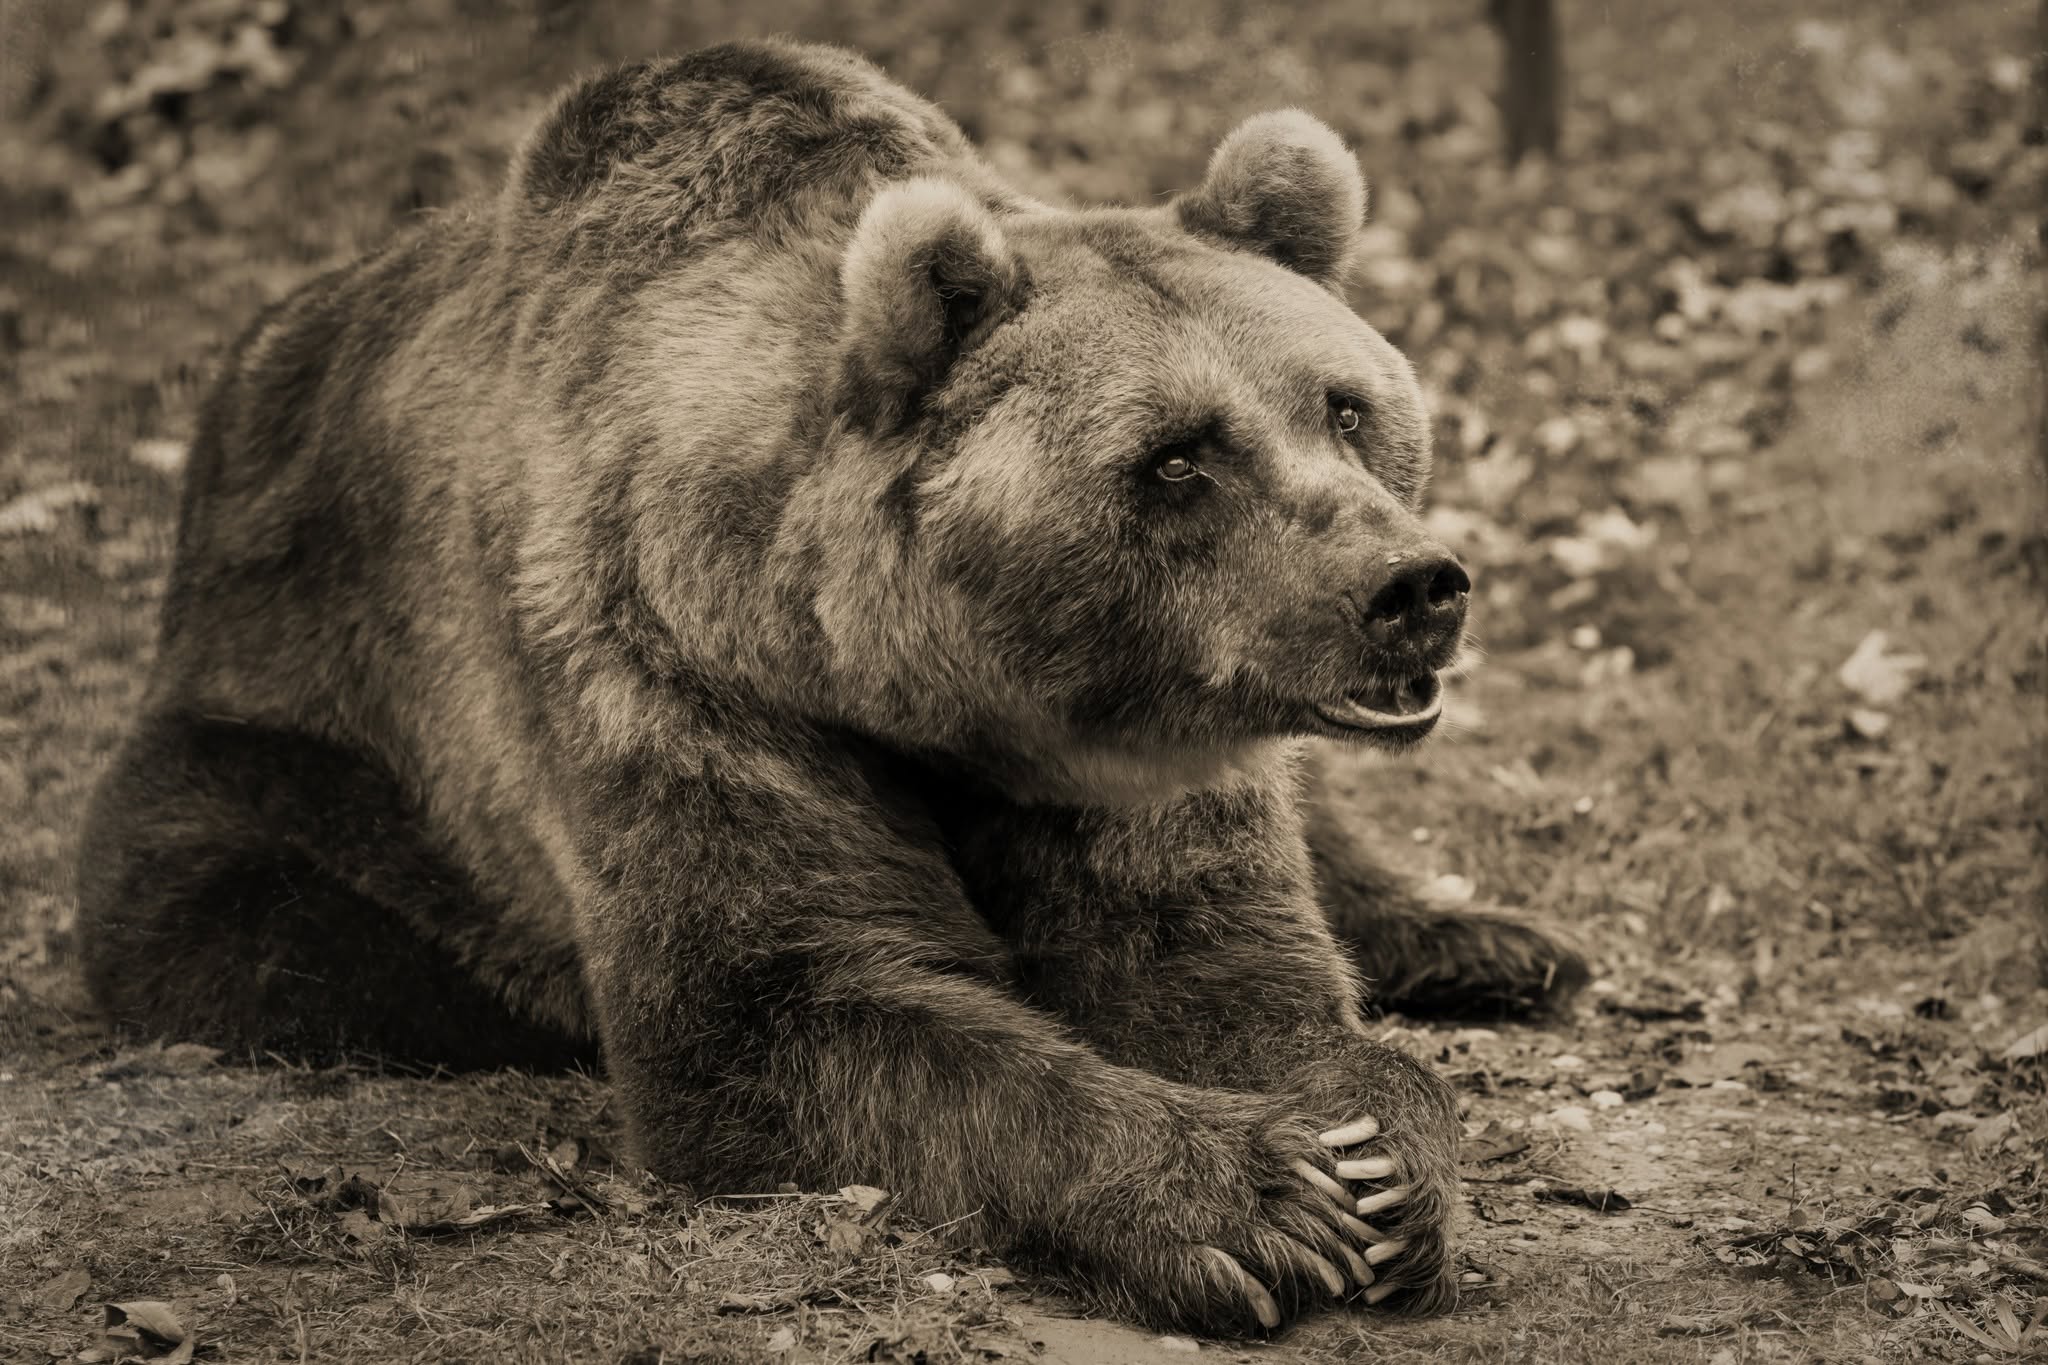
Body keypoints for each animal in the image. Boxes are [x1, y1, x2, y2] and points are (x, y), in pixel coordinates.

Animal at [74, 39, 1576, 1331]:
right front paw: (1255, 1197)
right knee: (274, 922)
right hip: (297, 756)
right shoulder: (669, 675)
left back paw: (1490, 941)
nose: (1409, 586)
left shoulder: (1134, 746)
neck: (925, 696)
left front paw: (1380, 1161)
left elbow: (1223, 972)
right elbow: (783, 1009)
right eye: (1176, 456)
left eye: (1341, 404)